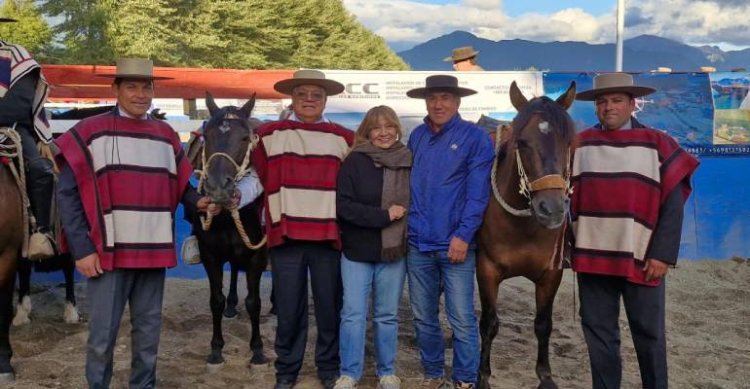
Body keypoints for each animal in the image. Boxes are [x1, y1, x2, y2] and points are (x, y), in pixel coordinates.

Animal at [478, 80, 580, 386]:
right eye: (522, 143)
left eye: (568, 142)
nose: (552, 209)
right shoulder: (486, 269)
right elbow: (489, 323)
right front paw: (482, 375)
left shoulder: (551, 274)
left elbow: (543, 324)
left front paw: (545, 375)